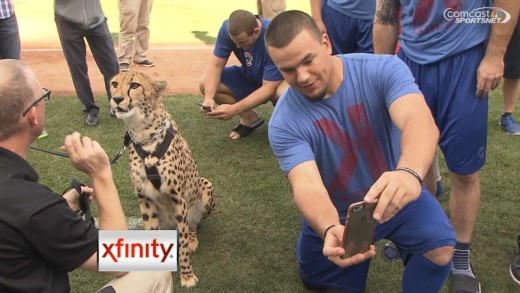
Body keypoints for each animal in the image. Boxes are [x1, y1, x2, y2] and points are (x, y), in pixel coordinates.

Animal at [109, 71, 215, 288]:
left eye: (134, 85)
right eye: (114, 83)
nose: (116, 99)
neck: (143, 132)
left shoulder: (178, 197)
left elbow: (182, 241)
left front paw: (187, 276)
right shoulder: (145, 198)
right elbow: (152, 232)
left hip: (205, 185)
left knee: (192, 224)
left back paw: (193, 238)